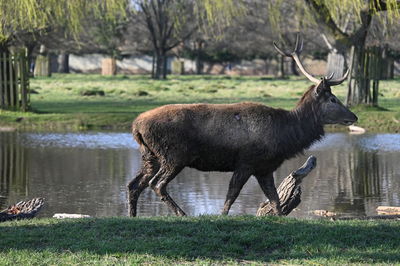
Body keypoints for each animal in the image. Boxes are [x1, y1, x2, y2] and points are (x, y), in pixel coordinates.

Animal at [126, 35, 358, 217]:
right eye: (333, 99)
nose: (354, 117)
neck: (285, 136)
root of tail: (136, 126)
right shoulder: (247, 161)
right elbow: (232, 194)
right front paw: (221, 215)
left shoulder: (264, 167)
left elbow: (275, 199)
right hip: (174, 155)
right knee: (156, 184)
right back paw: (182, 214)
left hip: (150, 156)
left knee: (134, 184)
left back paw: (133, 215)